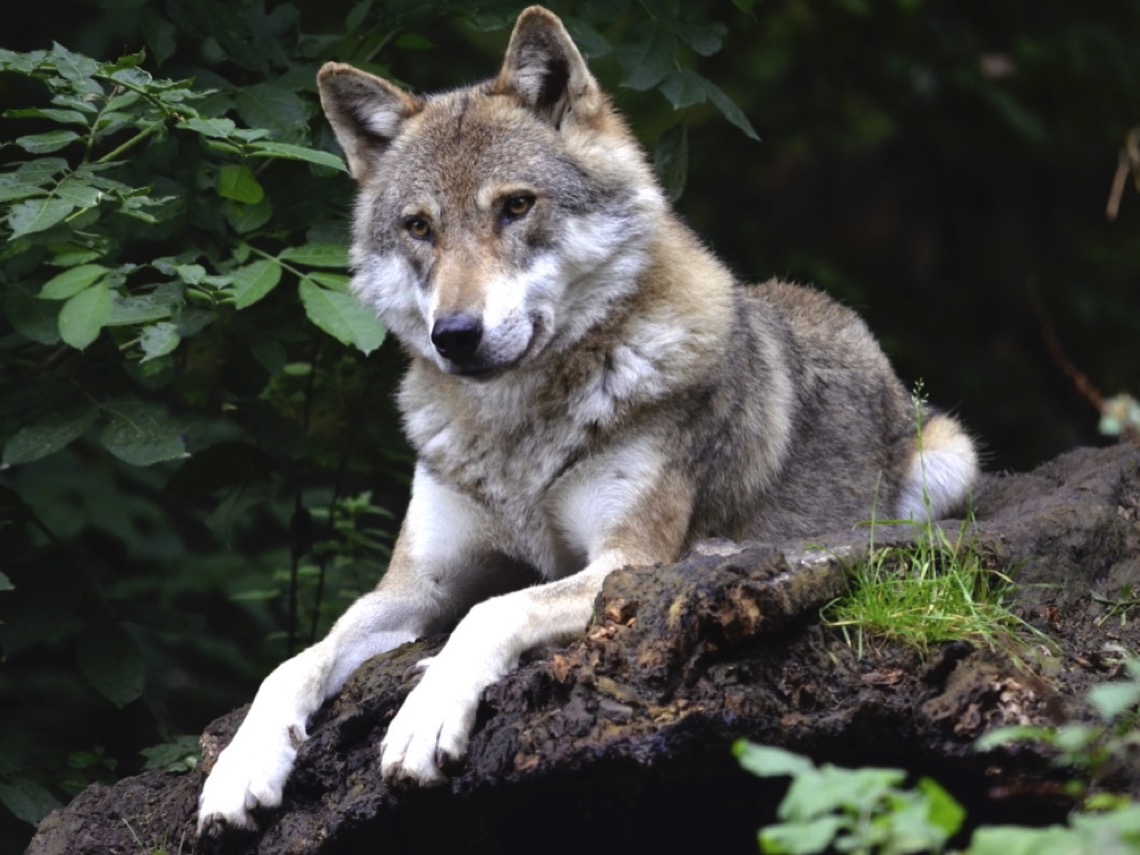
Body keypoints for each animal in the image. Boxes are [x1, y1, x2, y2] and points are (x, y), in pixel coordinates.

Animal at [197, 5, 978, 833]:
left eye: (515, 205)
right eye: (418, 227)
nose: (455, 334)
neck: (515, 434)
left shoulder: (620, 561)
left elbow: (491, 611)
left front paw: (424, 715)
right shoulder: (414, 585)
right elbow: (295, 660)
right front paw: (241, 766)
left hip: (948, 461)